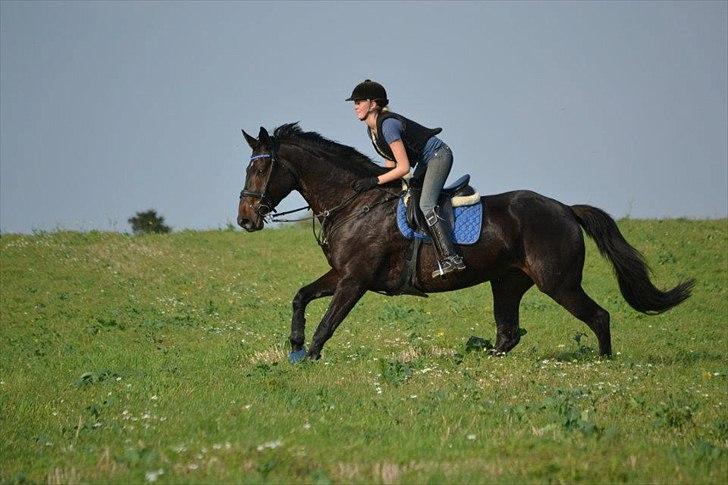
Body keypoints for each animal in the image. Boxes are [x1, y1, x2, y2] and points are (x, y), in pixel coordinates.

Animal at [237, 123, 692, 362]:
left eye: (259, 171)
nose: (245, 219)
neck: (354, 202)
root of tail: (564, 208)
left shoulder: (356, 278)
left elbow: (329, 321)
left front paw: (310, 357)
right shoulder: (342, 272)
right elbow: (301, 296)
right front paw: (295, 349)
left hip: (558, 282)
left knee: (599, 317)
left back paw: (603, 364)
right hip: (507, 282)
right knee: (508, 334)